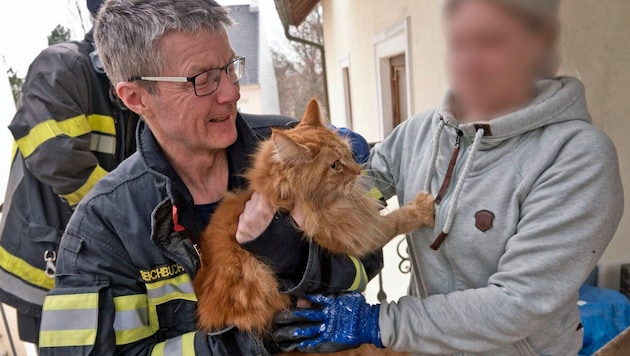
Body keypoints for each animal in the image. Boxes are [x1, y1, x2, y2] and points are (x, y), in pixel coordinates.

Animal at [195, 98, 434, 354]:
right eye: (335, 165)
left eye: (349, 153)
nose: (359, 170)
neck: (287, 203)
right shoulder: (362, 233)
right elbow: (399, 219)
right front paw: (424, 208)